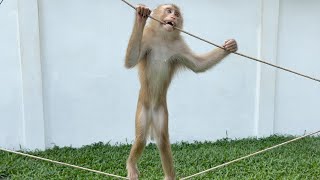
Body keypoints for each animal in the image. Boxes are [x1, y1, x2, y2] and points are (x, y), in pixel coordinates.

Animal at [125, 3, 238, 179]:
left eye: (177, 14)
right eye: (169, 10)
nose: (173, 17)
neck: (163, 38)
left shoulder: (178, 47)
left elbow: (199, 65)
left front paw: (228, 47)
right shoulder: (147, 39)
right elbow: (130, 61)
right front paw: (141, 16)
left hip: (160, 111)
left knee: (163, 139)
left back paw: (169, 175)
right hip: (143, 108)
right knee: (141, 137)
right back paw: (131, 164)